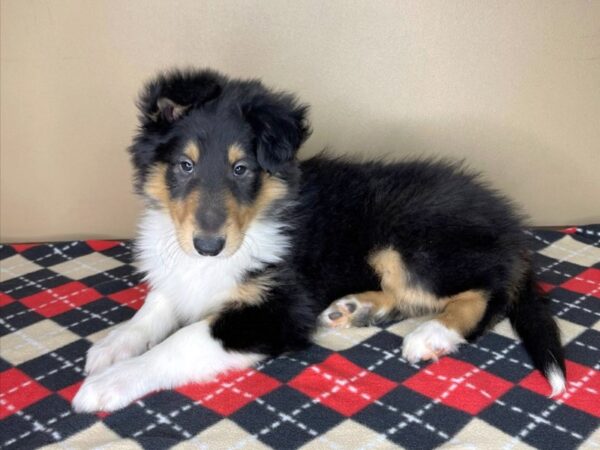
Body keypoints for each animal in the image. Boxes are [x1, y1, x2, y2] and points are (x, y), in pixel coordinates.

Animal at [72, 69, 564, 412]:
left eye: (241, 169)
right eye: (184, 166)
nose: (208, 246)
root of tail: (508, 224)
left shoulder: (277, 311)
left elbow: (183, 340)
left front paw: (111, 383)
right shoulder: (183, 275)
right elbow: (155, 306)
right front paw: (114, 344)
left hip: (411, 242)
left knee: (487, 293)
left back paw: (433, 336)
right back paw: (357, 308)